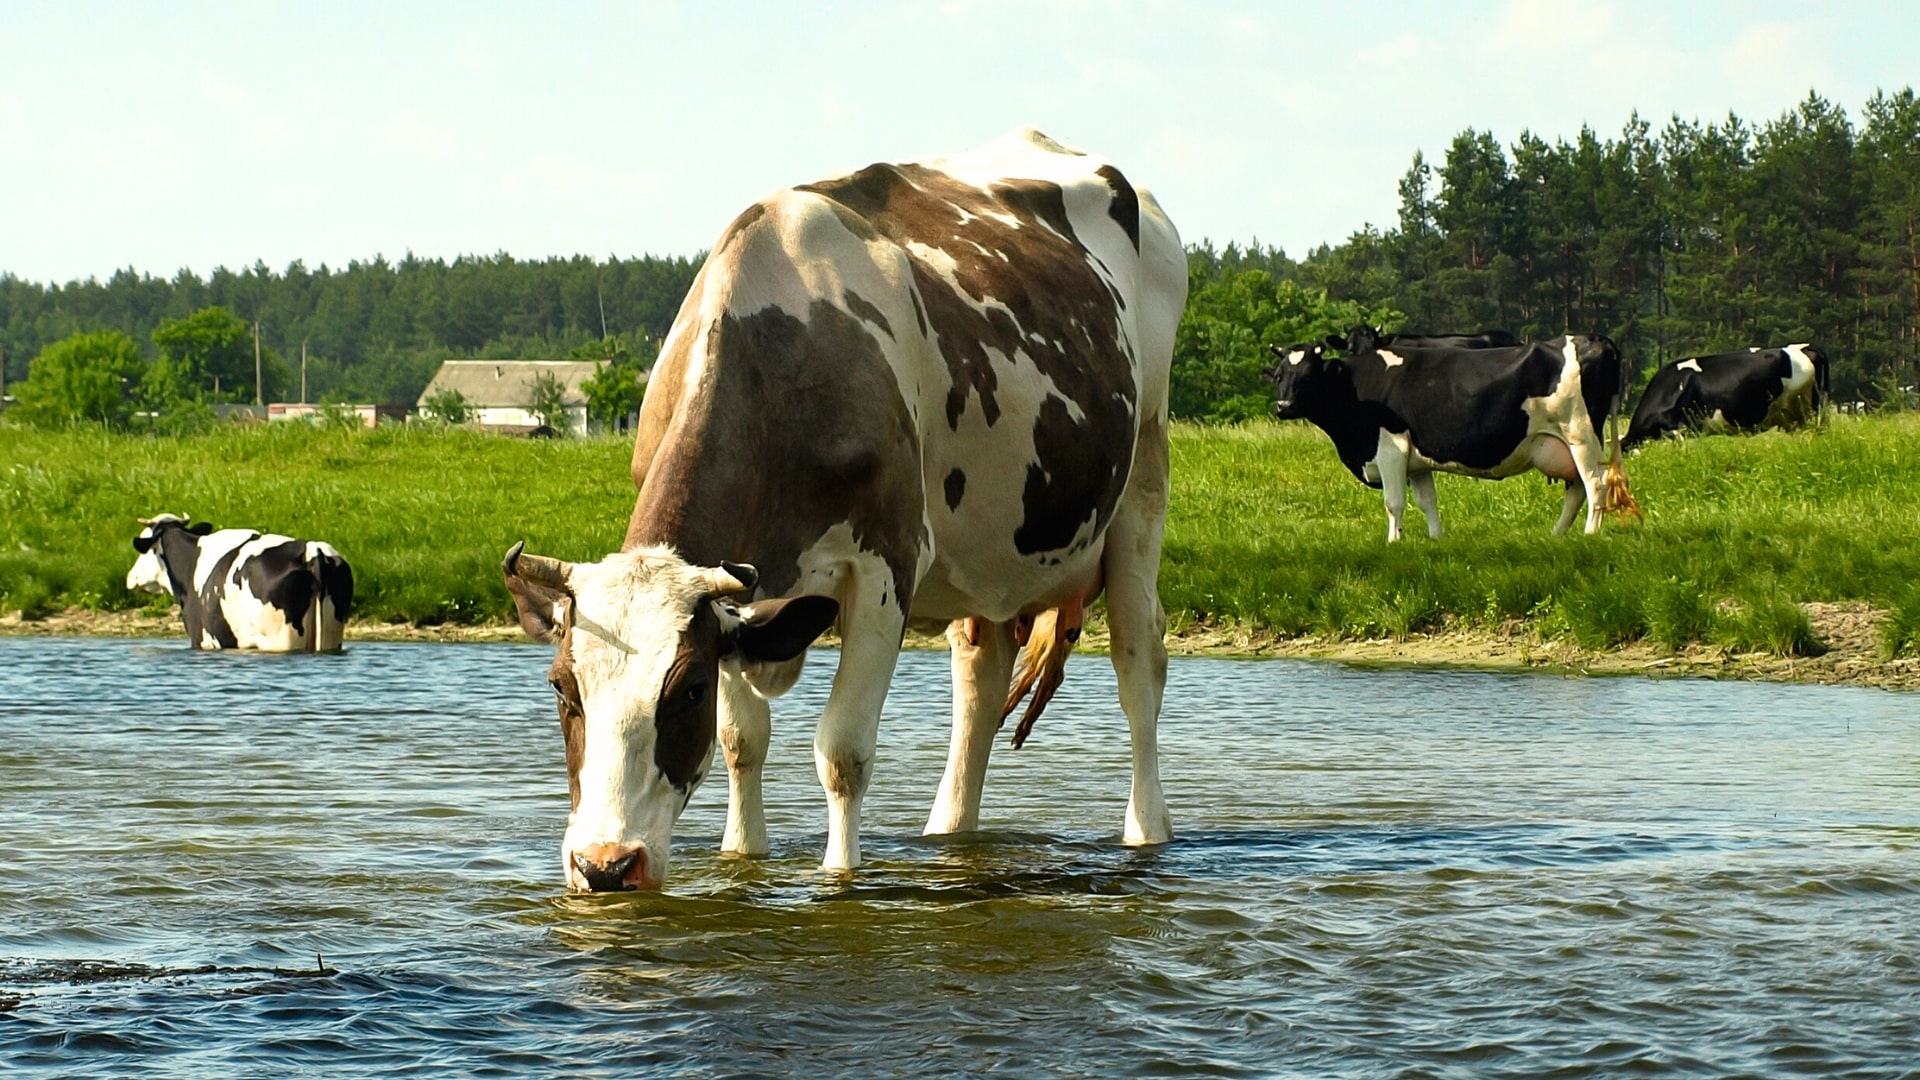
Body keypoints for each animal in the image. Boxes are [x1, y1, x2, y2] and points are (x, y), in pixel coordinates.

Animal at [129, 511, 355, 645]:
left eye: (144, 549)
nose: (130, 577)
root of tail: (311, 550)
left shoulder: (203, 639)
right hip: (330, 636)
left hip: (282, 639)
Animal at [495, 125, 1182, 887]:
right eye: (562, 688)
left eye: (687, 690)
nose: (607, 864)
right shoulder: (739, 597)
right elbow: (742, 742)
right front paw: (743, 858)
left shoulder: (886, 566)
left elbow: (842, 752)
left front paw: (841, 879)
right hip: (989, 552)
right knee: (980, 677)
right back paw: (950, 836)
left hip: (1143, 480)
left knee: (1138, 660)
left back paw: (1146, 833)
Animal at [1267, 330, 1628, 538]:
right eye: (1279, 375)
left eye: (1308, 375)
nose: (1283, 406)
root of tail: (1595, 339)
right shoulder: (1416, 459)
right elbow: (1427, 502)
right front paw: (1435, 540)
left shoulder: (1390, 447)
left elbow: (1394, 503)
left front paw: (1393, 543)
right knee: (1576, 489)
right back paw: (1556, 534)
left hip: (1580, 434)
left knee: (1595, 484)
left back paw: (1590, 535)